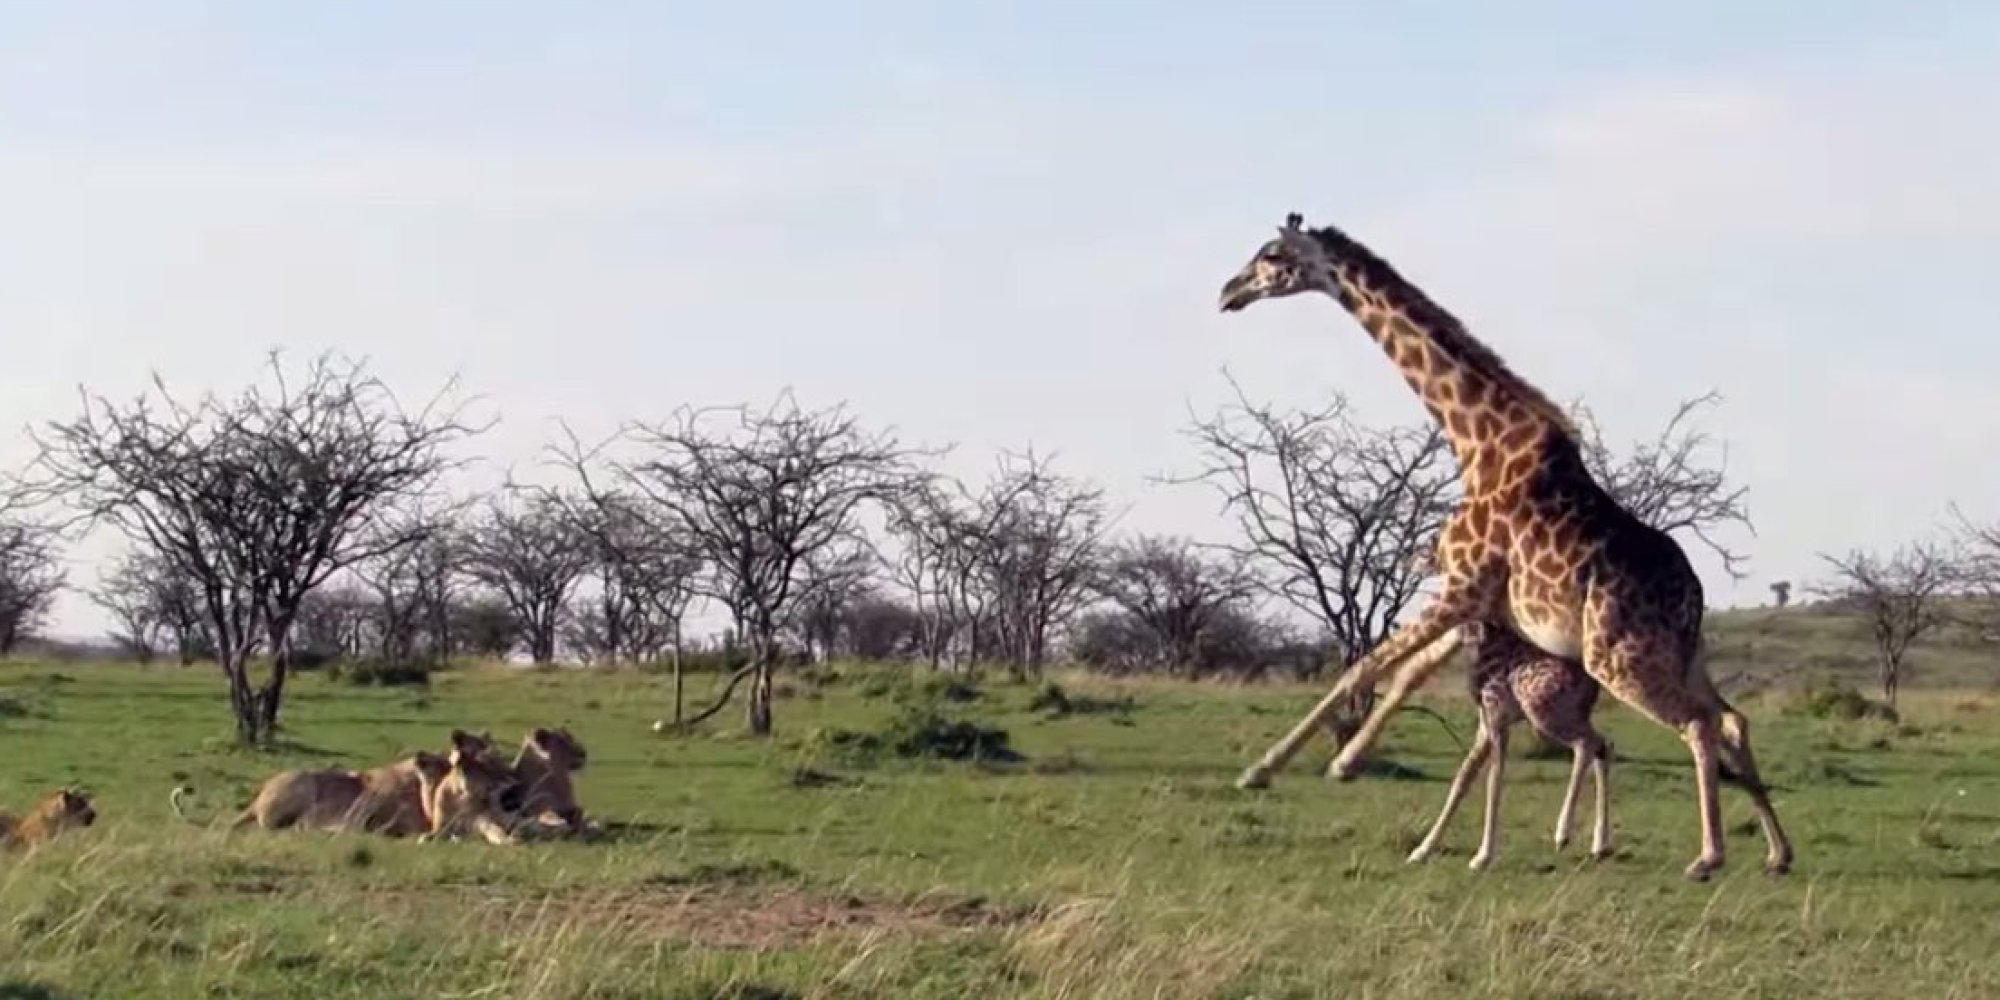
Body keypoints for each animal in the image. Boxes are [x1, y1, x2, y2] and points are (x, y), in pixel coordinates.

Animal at [1405, 621, 1612, 870]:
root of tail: (1594, 683)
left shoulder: (1497, 717)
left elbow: (1493, 781)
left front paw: (1482, 857)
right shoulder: (1485, 724)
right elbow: (1462, 779)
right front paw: (1421, 851)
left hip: (1543, 711)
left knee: (1586, 744)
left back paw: (1563, 834)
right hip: (1570, 715)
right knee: (1603, 745)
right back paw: (1599, 846)